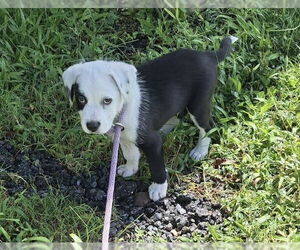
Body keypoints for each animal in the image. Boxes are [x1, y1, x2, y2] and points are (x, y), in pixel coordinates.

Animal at [62, 36, 237, 201]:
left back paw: (200, 150)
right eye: (81, 99)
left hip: (198, 104)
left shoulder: (152, 143)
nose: (92, 126)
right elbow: (131, 154)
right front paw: (130, 169)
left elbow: (157, 167)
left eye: (107, 100)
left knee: (208, 126)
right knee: (177, 117)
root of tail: (207, 55)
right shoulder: (124, 136)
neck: (122, 110)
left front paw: (158, 188)